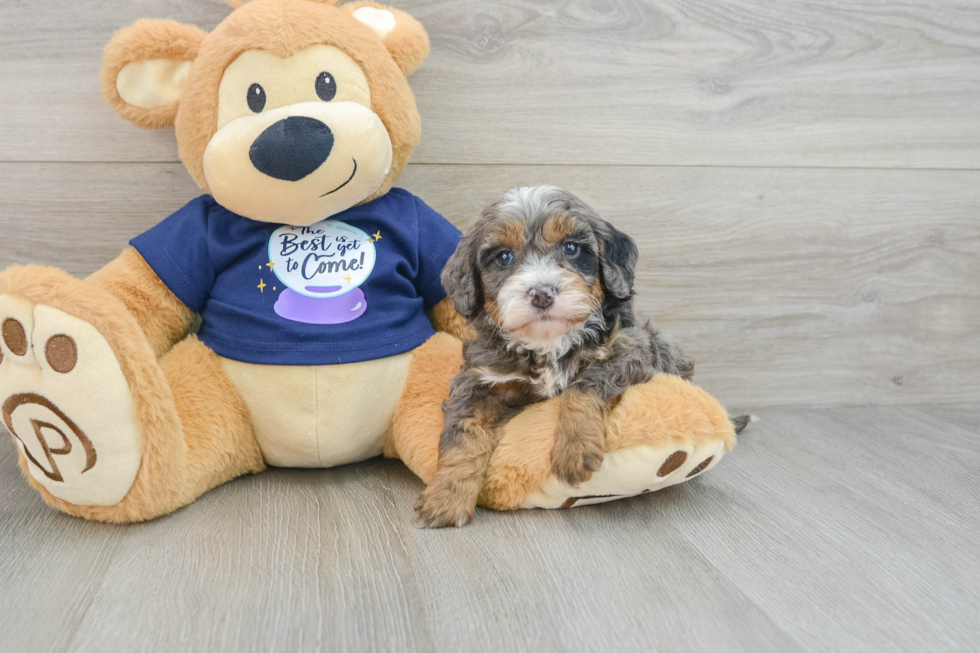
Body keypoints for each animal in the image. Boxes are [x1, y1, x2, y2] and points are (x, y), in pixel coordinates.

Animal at [414, 182, 696, 524]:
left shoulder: (630, 348)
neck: (548, 343)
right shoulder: (479, 377)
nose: (542, 294)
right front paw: (446, 496)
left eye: (571, 248)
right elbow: (462, 434)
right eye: (504, 257)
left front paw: (575, 451)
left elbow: (583, 385)